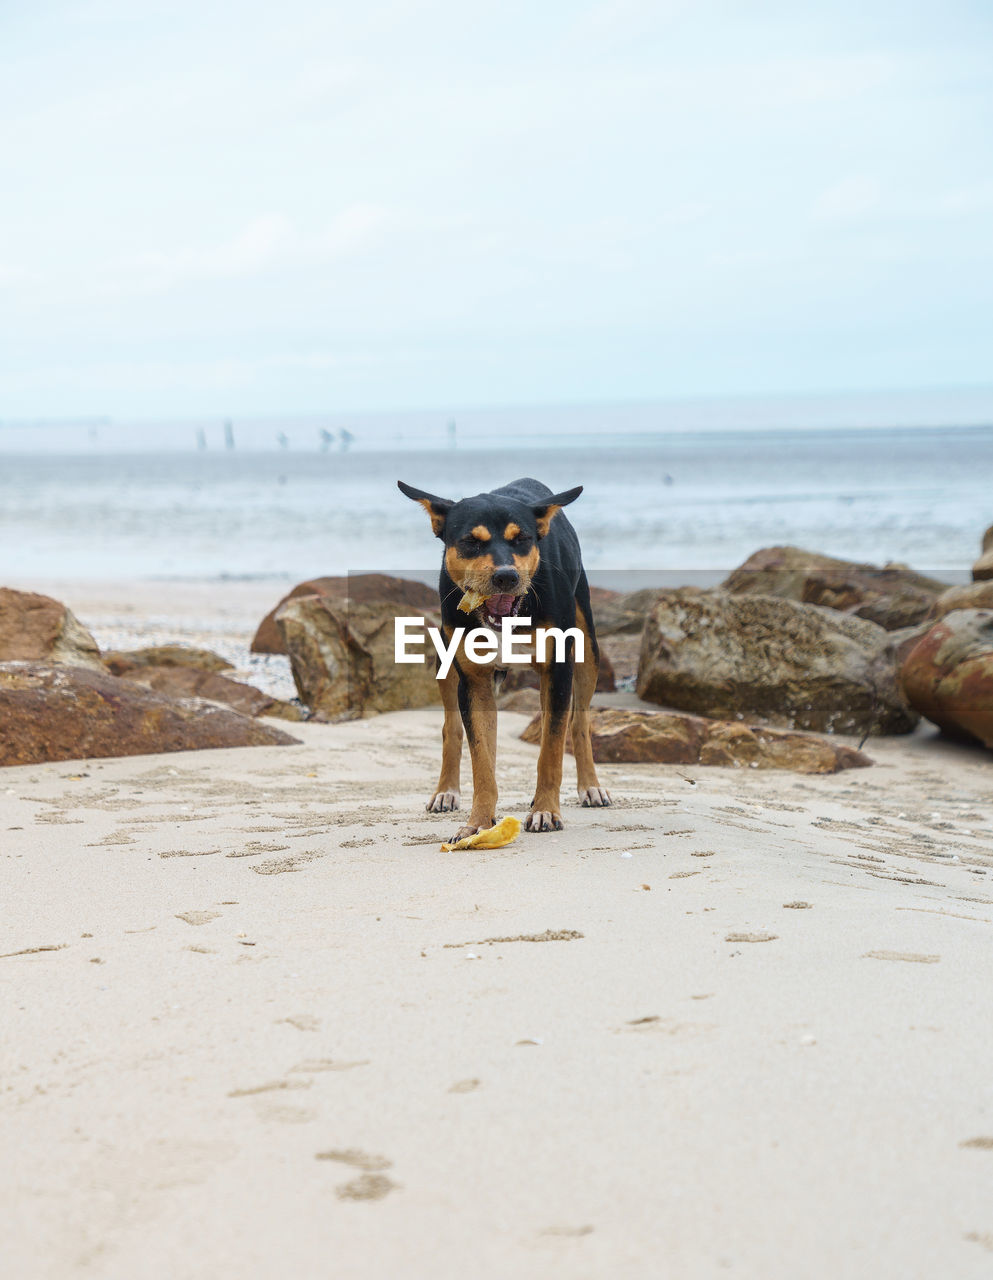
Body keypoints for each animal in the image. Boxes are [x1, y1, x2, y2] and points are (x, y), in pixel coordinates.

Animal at [399, 473, 609, 839]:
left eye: (521, 539)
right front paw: (478, 822)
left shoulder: (558, 671)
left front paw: (545, 811)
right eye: (471, 541)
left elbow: (551, 749)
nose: (506, 576)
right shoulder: (473, 680)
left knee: (579, 723)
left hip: (587, 647)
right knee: (452, 728)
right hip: (446, 660)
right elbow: (481, 758)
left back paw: (590, 787)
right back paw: (446, 791)